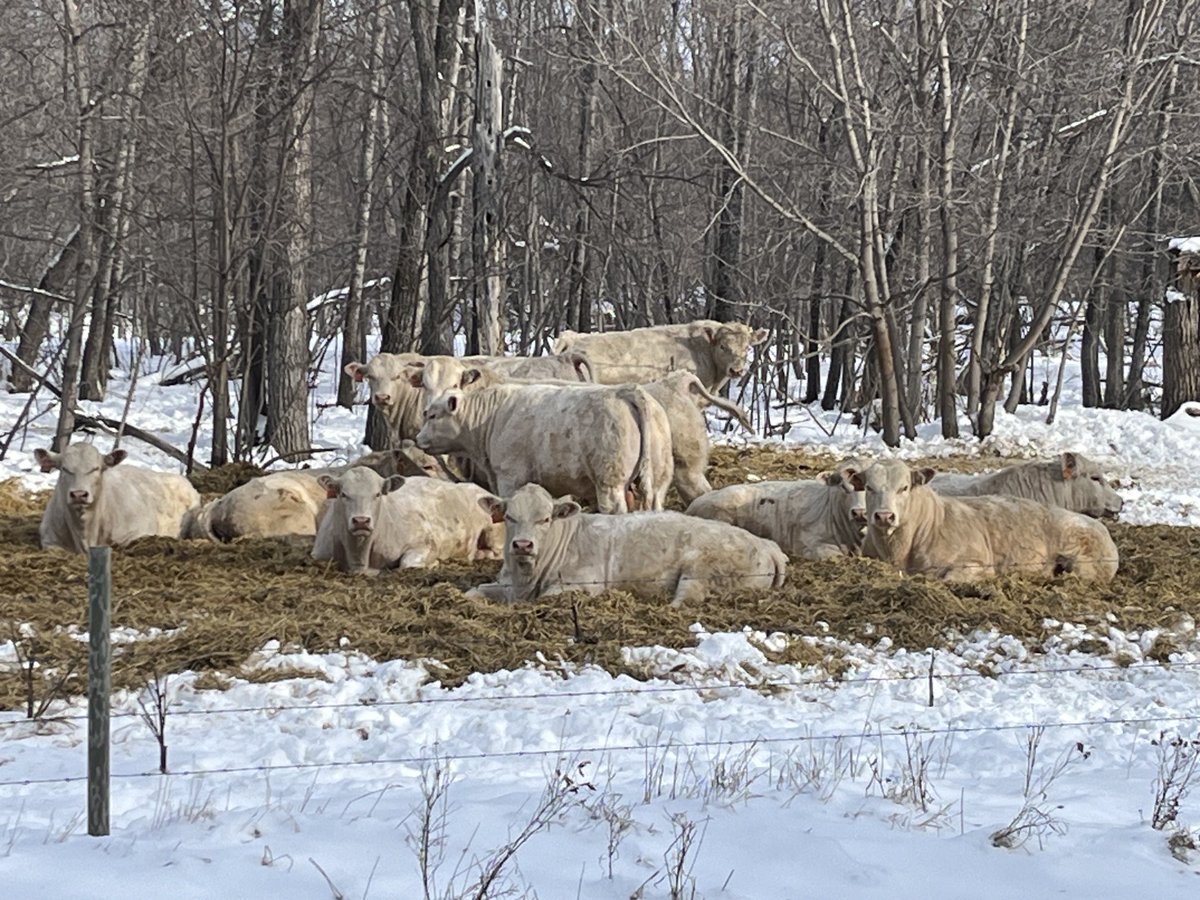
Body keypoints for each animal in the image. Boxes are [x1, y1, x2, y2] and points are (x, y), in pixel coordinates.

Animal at [311, 468, 502, 575]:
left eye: (377, 494)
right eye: (343, 494)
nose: (361, 521)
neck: (359, 557)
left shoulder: (426, 543)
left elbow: (407, 564)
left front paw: (433, 564)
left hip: (493, 531)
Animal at [415, 380, 673, 513]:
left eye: (432, 415)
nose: (418, 439)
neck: (492, 417)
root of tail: (627, 390)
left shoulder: (509, 477)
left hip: (610, 482)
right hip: (660, 478)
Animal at [467, 483, 787, 606]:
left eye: (545, 519)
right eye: (509, 516)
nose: (522, 544)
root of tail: (768, 545)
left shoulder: (583, 585)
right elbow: (474, 591)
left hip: (700, 572)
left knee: (684, 601)